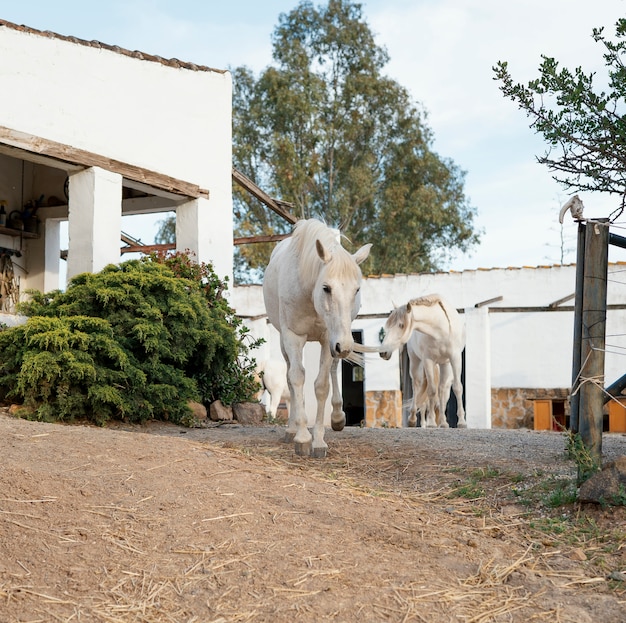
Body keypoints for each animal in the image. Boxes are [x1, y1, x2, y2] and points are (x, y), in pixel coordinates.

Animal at [260, 221, 368, 458]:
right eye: (326, 287)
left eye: (357, 290)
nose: (346, 346)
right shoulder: (293, 336)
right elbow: (297, 378)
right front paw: (302, 437)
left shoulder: (329, 338)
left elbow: (321, 385)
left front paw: (318, 440)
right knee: (290, 380)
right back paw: (291, 429)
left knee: (334, 368)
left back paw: (337, 417)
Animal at [376, 294, 464, 426]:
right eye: (388, 326)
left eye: (401, 325)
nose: (383, 352)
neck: (441, 331)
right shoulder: (428, 360)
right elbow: (431, 391)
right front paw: (431, 422)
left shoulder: (455, 358)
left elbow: (457, 388)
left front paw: (462, 421)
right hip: (415, 361)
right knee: (417, 385)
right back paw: (413, 419)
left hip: (444, 364)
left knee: (442, 390)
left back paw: (443, 422)